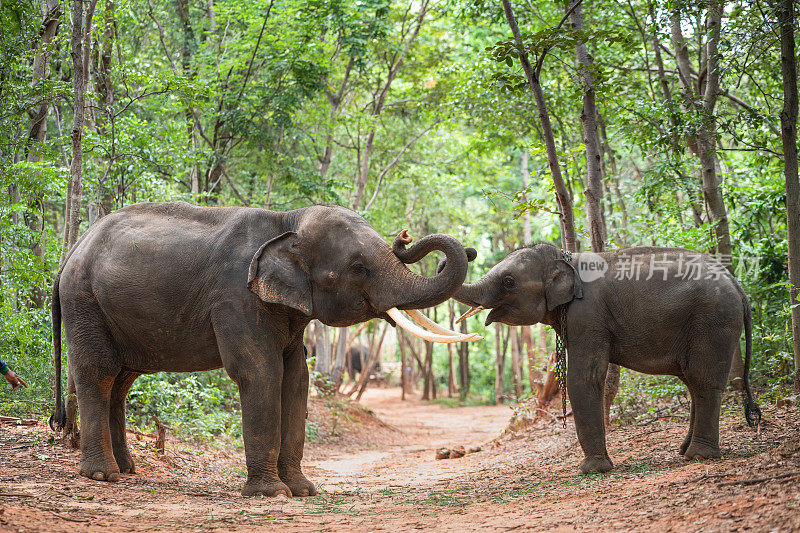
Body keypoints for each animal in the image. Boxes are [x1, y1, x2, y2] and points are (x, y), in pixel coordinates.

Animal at [51, 203, 482, 494]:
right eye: (359, 268)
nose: (404, 237)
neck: (286, 220)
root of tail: (71, 250)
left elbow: (296, 379)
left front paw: (303, 491)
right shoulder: (235, 297)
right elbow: (261, 372)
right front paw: (272, 494)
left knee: (122, 380)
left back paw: (127, 469)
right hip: (84, 301)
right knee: (99, 371)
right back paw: (102, 475)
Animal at [444, 243, 764, 472]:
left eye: (509, 281)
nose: (470, 251)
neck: (566, 258)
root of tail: (738, 286)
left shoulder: (588, 316)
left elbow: (583, 379)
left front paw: (592, 470)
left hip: (713, 321)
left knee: (703, 380)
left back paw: (700, 456)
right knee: (692, 382)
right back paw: (685, 452)